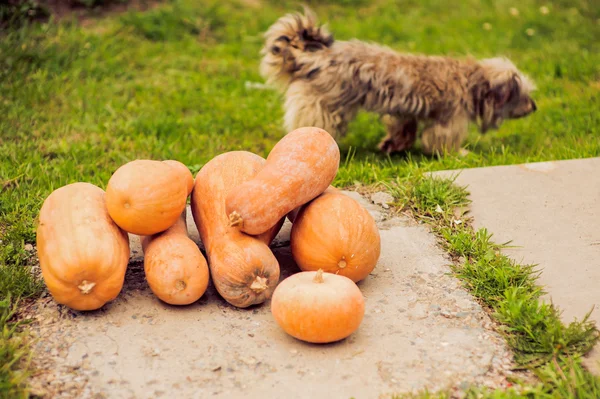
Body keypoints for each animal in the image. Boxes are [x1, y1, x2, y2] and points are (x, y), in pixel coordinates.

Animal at [260, 9, 536, 156]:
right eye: (524, 95)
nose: (535, 107)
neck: (471, 81)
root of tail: (313, 56)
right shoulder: (450, 119)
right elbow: (442, 139)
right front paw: (457, 154)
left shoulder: (404, 113)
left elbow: (403, 130)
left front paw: (392, 146)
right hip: (323, 107)